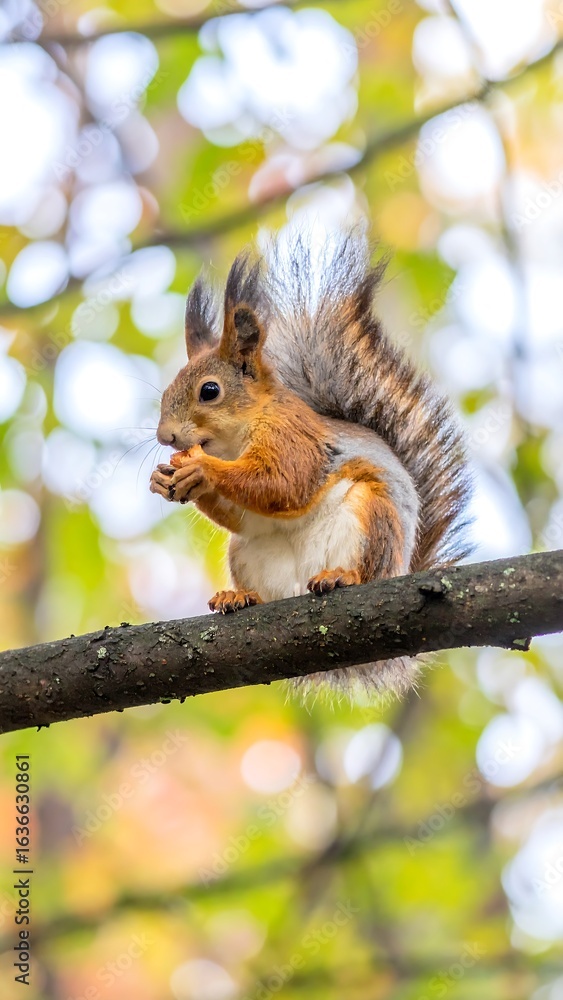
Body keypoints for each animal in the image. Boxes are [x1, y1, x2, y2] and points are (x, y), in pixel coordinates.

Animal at [149, 232, 471, 694]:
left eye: (209, 391)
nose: (165, 436)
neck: (231, 442)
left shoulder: (292, 436)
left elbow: (284, 483)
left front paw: (202, 471)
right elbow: (243, 512)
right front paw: (166, 479)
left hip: (371, 516)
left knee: (363, 566)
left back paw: (342, 577)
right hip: (245, 554)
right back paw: (241, 597)